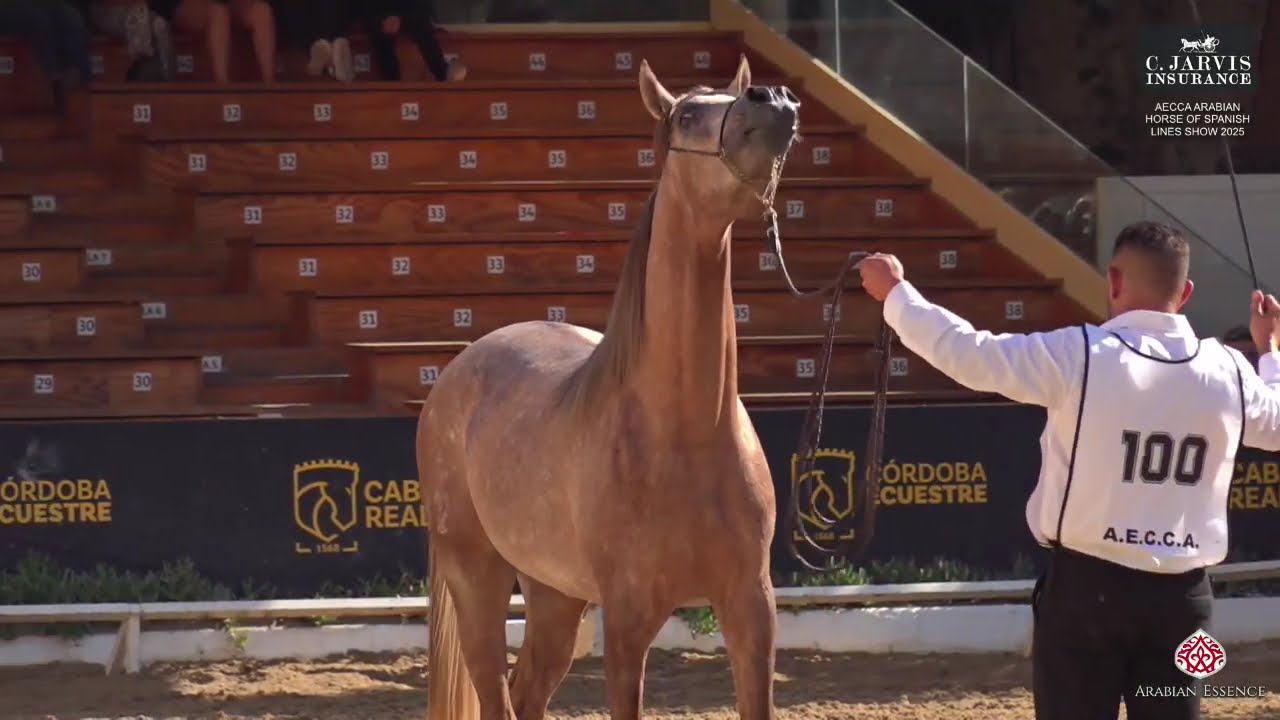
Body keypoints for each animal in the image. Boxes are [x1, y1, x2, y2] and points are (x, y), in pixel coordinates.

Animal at [416, 55, 799, 720]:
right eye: (688, 115)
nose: (772, 98)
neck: (685, 434)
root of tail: (454, 377)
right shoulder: (627, 621)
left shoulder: (752, 608)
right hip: (477, 578)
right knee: (497, 692)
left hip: (554, 595)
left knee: (528, 691)